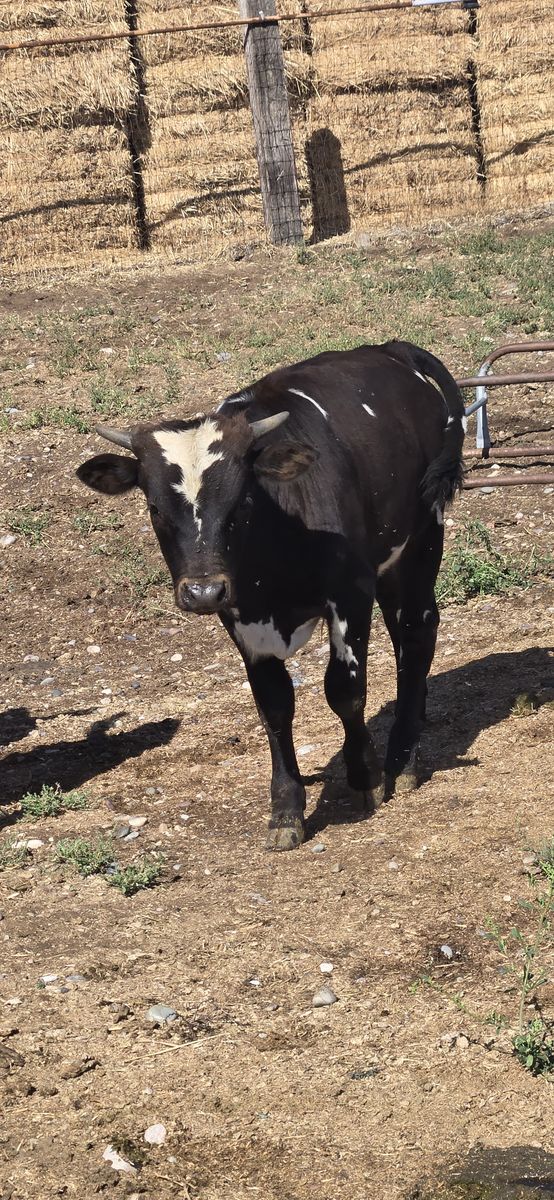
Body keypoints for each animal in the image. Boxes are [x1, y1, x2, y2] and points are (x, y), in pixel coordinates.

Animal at [77, 340, 465, 851]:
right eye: (155, 508)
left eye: (241, 499)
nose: (202, 590)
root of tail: (386, 348)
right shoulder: (243, 618)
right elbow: (274, 706)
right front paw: (286, 809)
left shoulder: (350, 594)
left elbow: (345, 691)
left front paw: (365, 776)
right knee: (403, 637)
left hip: (422, 540)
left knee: (417, 633)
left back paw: (401, 759)